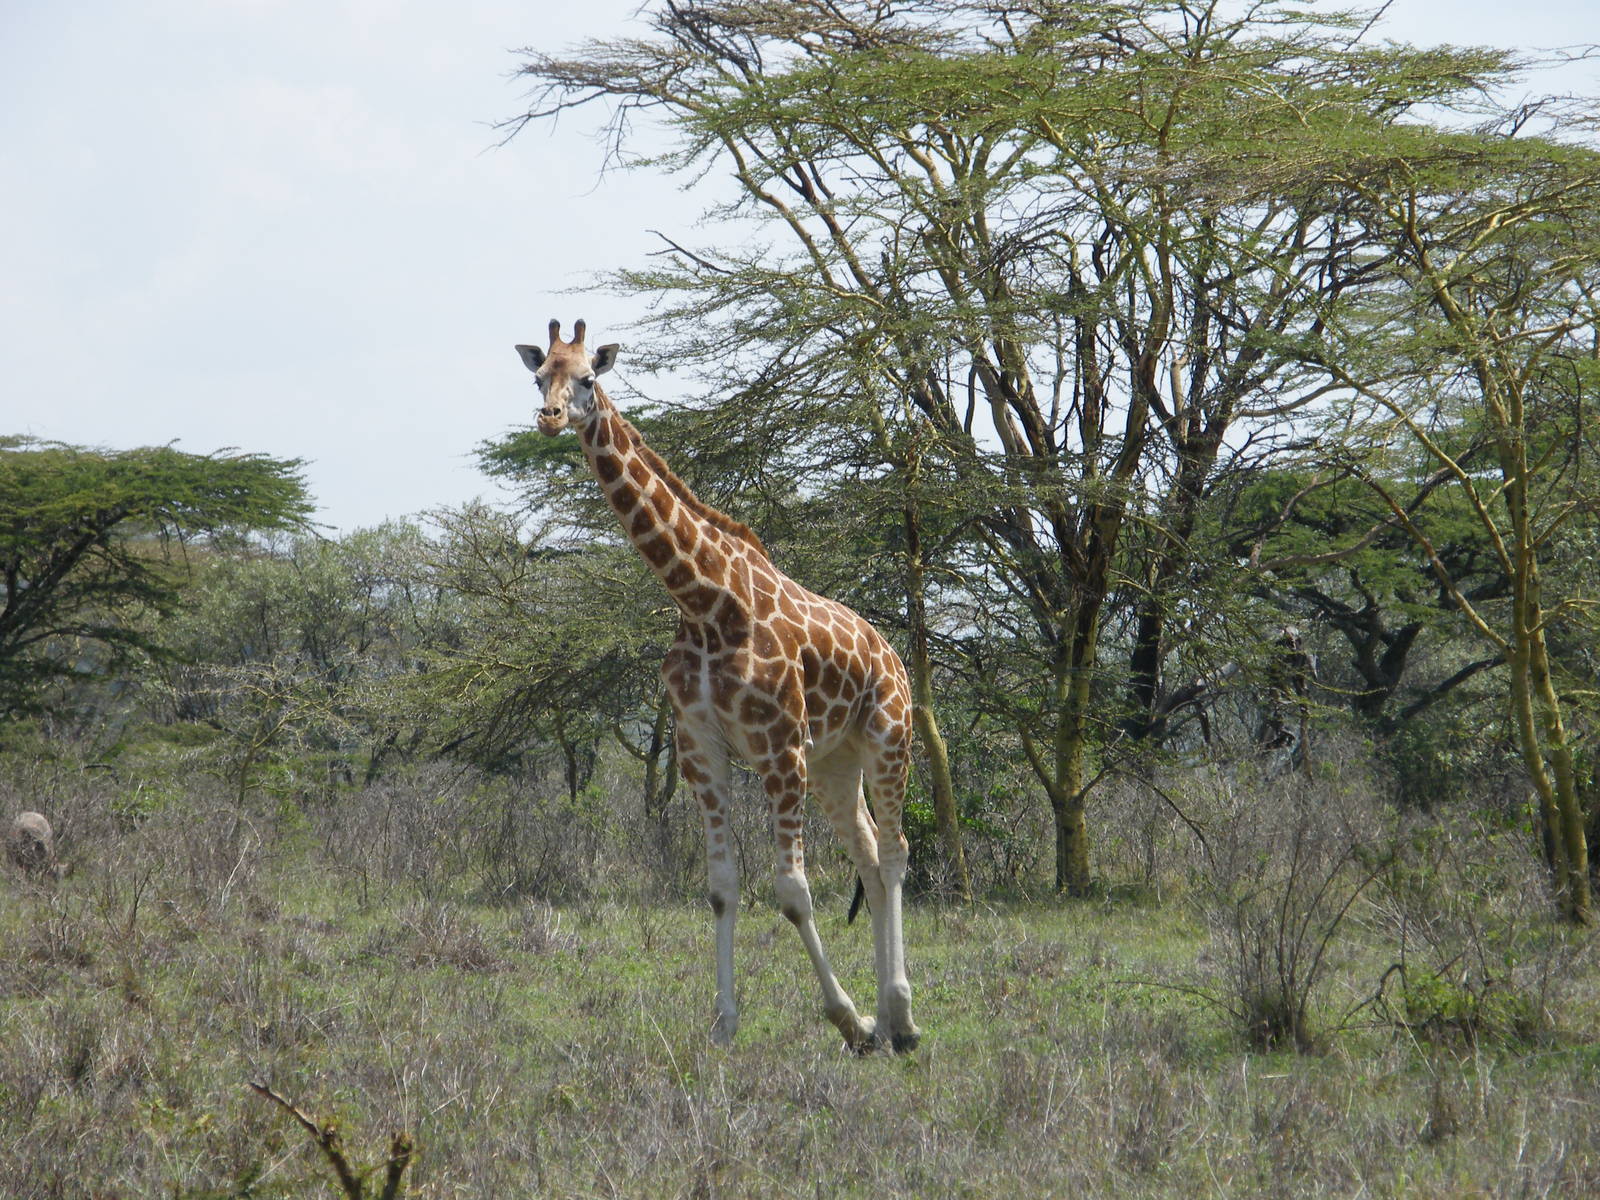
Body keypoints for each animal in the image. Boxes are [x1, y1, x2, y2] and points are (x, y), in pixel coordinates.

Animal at [514, 319, 920, 1053]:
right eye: (539, 378)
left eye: (586, 377)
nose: (551, 417)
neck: (703, 599)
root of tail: (891, 653)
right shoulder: (701, 745)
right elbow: (722, 887)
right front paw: (726, 1026)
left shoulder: (779, 746)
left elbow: (792, 892)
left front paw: (845, 1016)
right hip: (834, 762)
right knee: (871, 856)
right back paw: (887, 1021)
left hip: (888, 737)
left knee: (898, 853)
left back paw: (901, 1018)